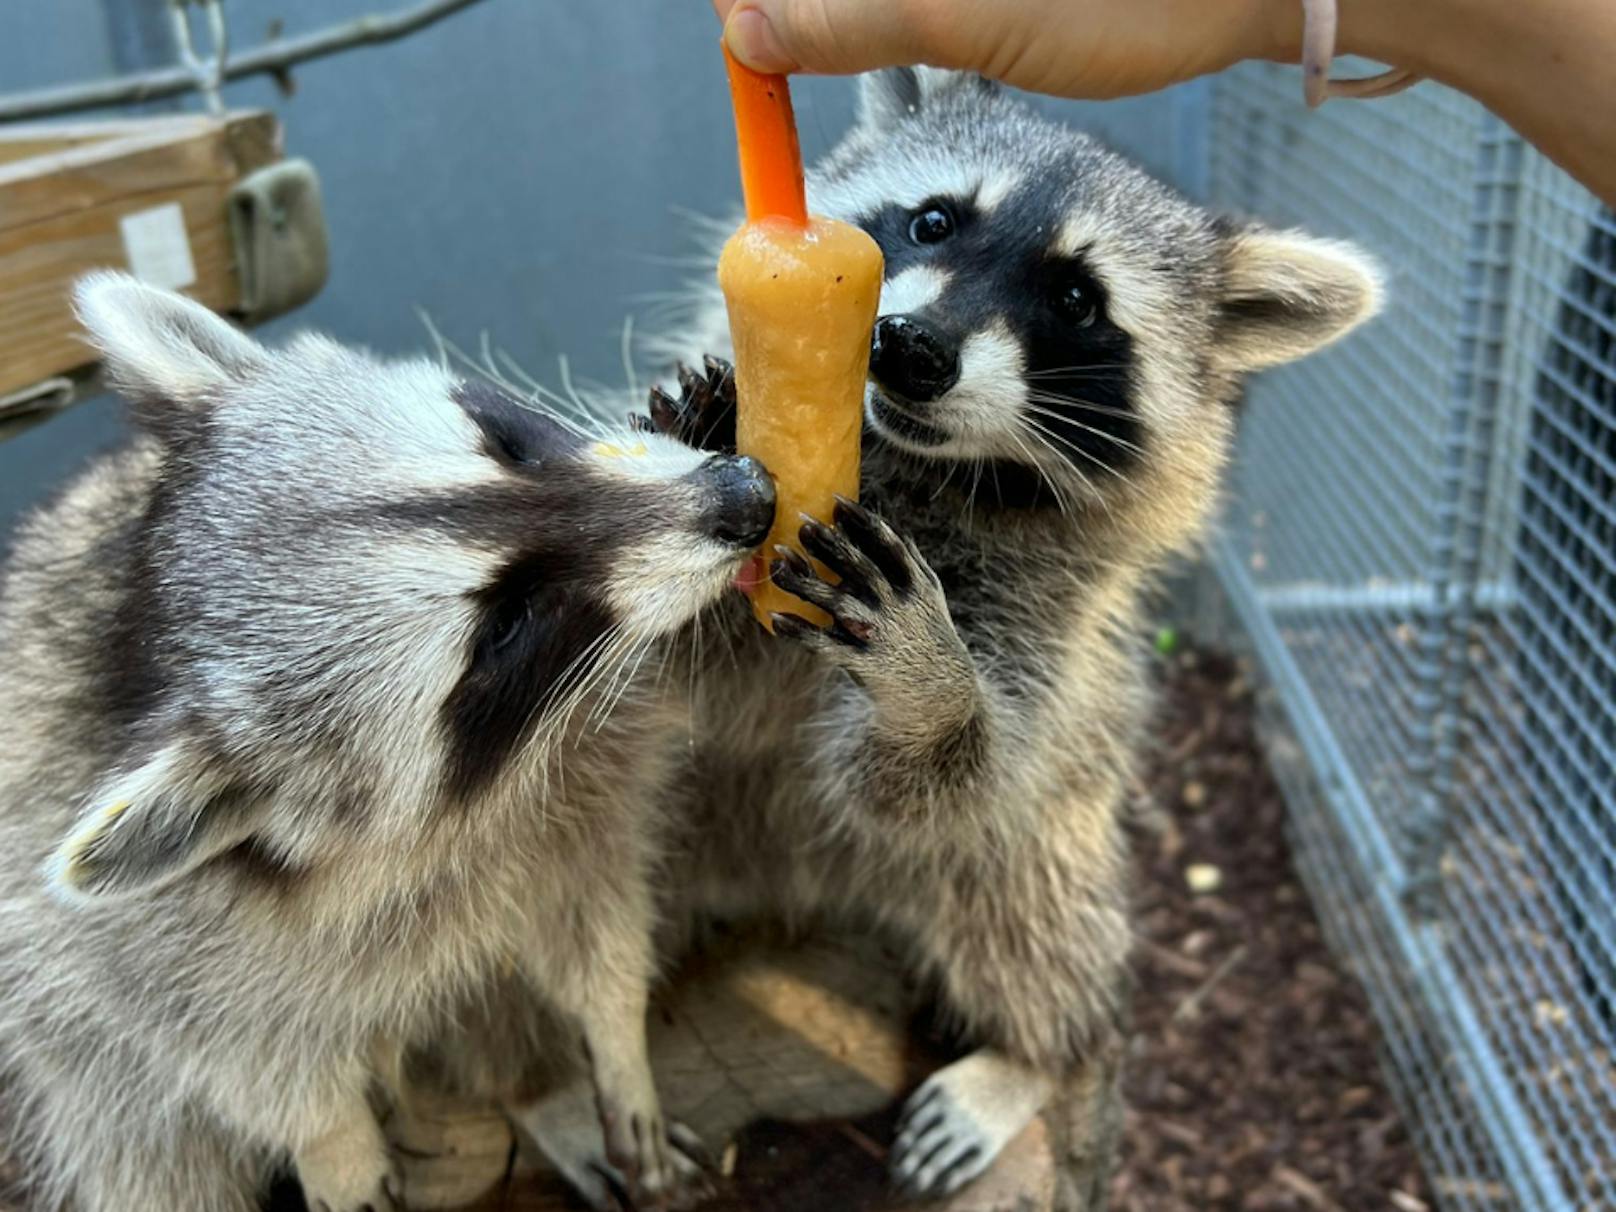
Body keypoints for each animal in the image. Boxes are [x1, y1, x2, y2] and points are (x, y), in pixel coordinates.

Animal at [0, 274, 769, 1212]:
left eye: (506, 443)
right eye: (504, 627)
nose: (745, 493)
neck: (140, 638)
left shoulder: (575, 820)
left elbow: (598, 933)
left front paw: (618, 1045)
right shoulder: (149, 951)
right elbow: (237, 1059)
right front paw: (333, 1144)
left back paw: (540, 1090)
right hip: (57, 1045)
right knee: (136, 1143)